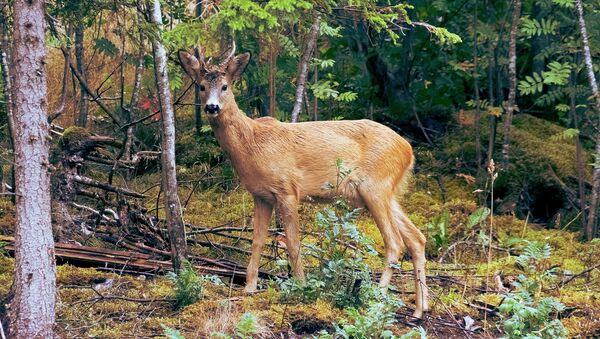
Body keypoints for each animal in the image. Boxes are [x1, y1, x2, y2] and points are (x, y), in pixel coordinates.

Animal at [179, 43, 432, 318]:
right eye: (201, 86)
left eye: (225, 86)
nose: (211, 107)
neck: (252, 145)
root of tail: (408, 150)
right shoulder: (261, 195)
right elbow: (257, 241)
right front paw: (249, 287)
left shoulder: (288, 189)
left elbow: (293, 241)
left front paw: (300, 286)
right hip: (387, 192)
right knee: (417, 238)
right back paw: (420, 310)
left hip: (375, 187)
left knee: (395, 242)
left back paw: (377, 298)